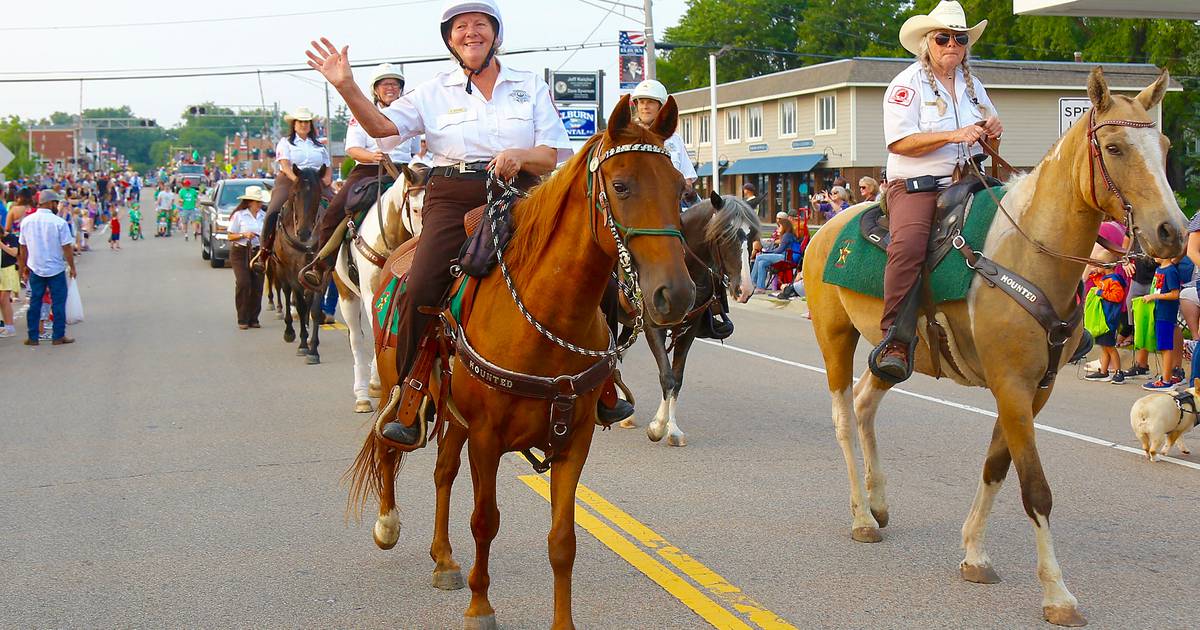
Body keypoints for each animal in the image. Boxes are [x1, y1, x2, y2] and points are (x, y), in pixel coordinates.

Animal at [272, 164, 328, 364]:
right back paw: (289, 330)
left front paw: (314, 348)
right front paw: (303, 344)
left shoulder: (323, 271)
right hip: (280, 270)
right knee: (288, 294)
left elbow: (315, 308)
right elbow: (301, 305)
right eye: (295, 194)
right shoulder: (291, 270)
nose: (304, 233)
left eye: (319, 194)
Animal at [345, 94, 696, 628]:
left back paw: (444, 560)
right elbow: (485, 522)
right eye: (621, 186)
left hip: (455, 418)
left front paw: (562, 622)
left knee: (442, 472)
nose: (675, 295)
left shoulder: (574, 439)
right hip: (399, 387)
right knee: (389, 446)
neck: (544, 315)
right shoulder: (487, 439)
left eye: (681, 189)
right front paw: (480, 607)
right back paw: (388, 524)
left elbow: (563, 541)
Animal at [624, 194, 753, 444]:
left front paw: (672, 429)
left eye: (751, 236)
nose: (746, 289)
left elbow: (677, 378)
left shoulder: (690, 329)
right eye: (725, 235)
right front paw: (657, 426)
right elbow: (667, 376)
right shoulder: (653, 326)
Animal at [801, 69, 1185, 624]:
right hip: (835, 337)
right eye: (1114, 147)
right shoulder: (1011, 386)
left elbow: (996, 468)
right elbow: (1036, 489)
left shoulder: (1035, 390)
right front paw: (1057, 594)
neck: (1029, 252)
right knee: (843, 418)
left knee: (865, 402)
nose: (1171, 231)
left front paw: (975, 555)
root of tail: (824, 228)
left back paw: (878, 502)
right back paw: (861, 518)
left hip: (894, 353)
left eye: (1165, 146)